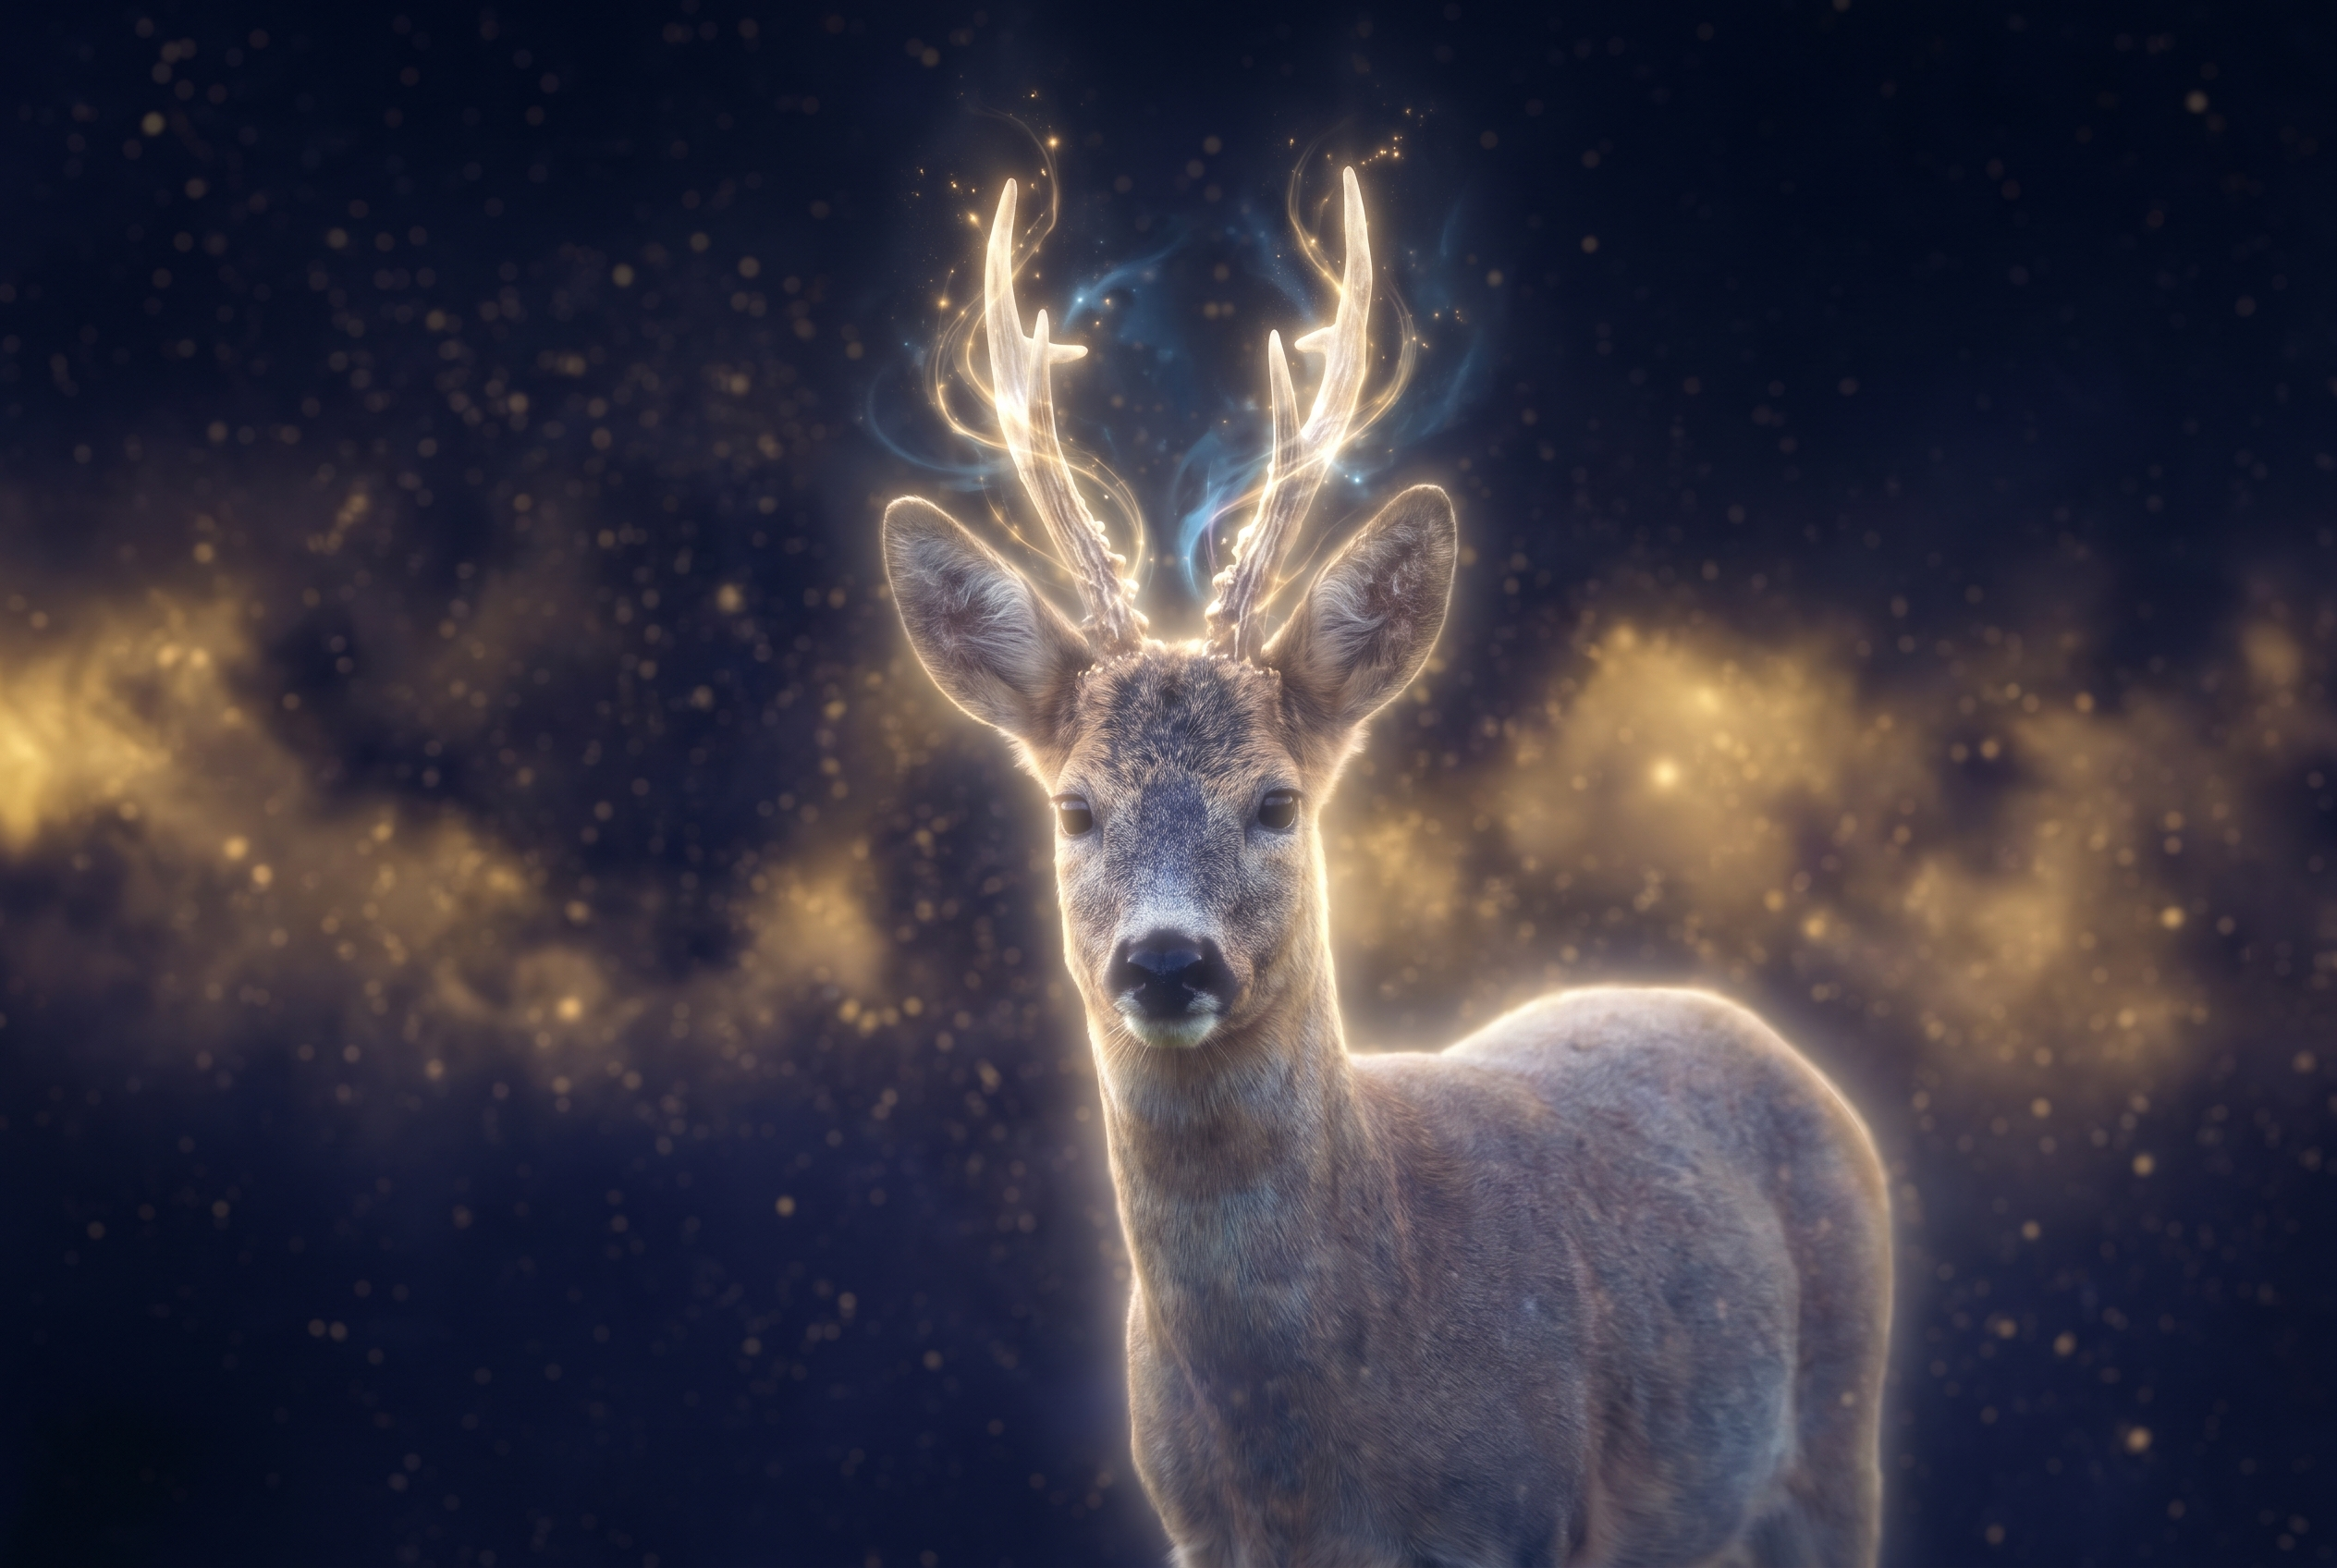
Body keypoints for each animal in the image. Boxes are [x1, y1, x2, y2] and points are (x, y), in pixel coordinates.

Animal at [882, 167, 1892, 1568]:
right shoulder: (1190, 1527)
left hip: (1836, 1438)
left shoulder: (1516, 1513)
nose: (1167, 958)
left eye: (1277, 800)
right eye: (1075, 807)